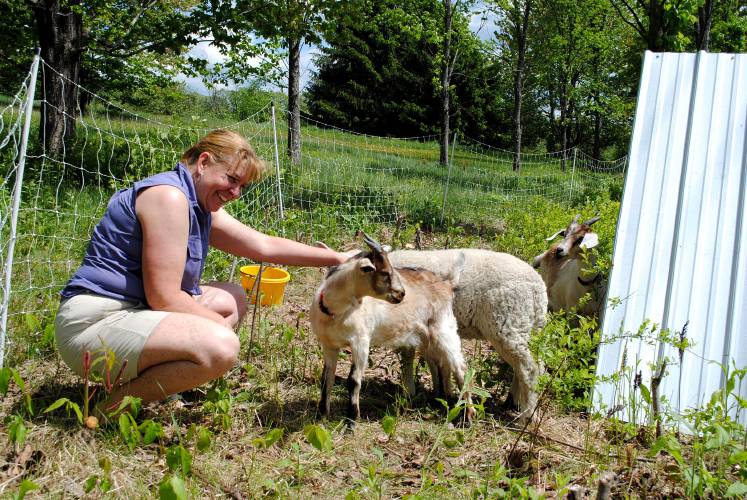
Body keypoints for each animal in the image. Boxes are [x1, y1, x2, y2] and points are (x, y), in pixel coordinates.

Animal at [312, 234, 474, 426]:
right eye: (385, 273)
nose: (401, 294)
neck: (335, 313)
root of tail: (446, 285)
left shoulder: (360, 342)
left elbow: (353, 381)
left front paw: (351, 421)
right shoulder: (329, 344)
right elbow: (326, 378)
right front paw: (321, 416)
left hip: (444, 329)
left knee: (460, 368)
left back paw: (468, 416)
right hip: (427, 338)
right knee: (439, 363)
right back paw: (439, 400)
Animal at [388, 247, 548, 422]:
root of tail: (539, 288)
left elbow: (407, 359)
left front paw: (408, 394)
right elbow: (437, 363)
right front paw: (441, 395)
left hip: (509, 323)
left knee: (529, 368)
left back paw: (528, 415)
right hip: (528, 327)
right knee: (530, 366)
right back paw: (513, 402)